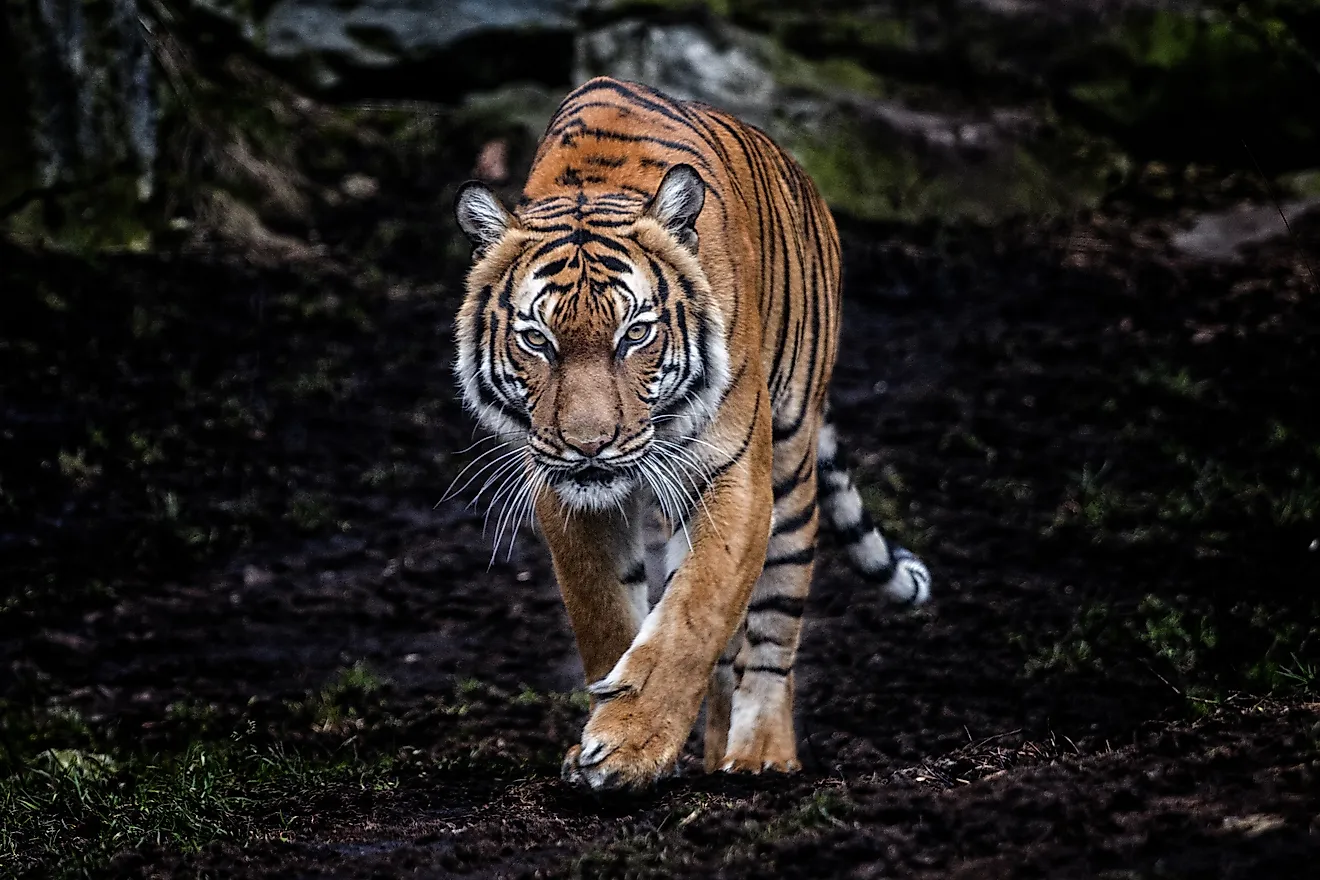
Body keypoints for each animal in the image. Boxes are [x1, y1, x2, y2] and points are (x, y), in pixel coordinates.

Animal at [452, 76, 931, 791]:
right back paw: (710, 754)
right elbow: (607, 615)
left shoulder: (734, 478)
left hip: (791, 466)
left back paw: (759, 756)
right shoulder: (565, 491)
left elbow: (693, 613)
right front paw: (613, 737)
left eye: (636, 334)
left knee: (772, 627)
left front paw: (626, 747)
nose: (590, 444)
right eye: (537, 340)